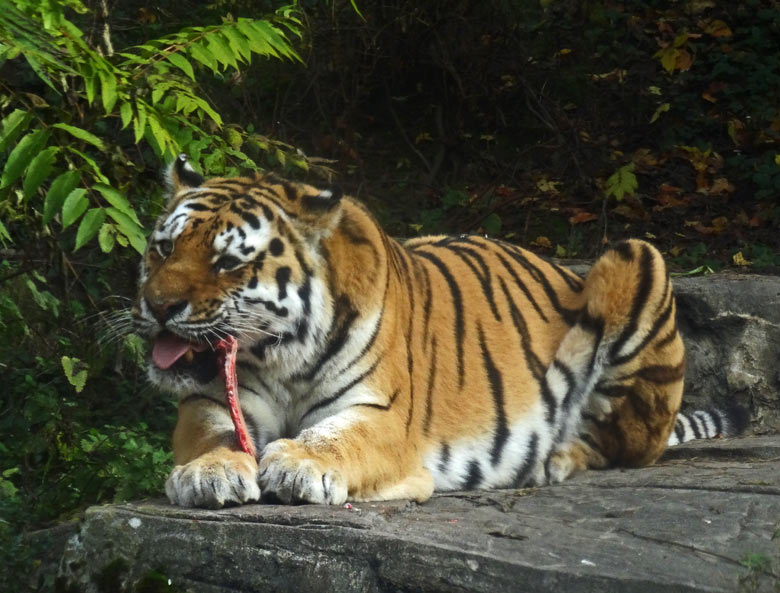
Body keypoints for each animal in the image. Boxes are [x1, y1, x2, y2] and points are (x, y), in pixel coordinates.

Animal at [131, 154, 748, 508]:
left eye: (227, 263)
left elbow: (335, 438)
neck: (277, 358)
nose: (157, 307)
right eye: (164, 248)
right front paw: (208, 474)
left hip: (637, 257)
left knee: (621, 445)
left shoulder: (383, 415)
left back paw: (553, 458)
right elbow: (213, 438)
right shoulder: (211, 401)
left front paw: (298, 463)